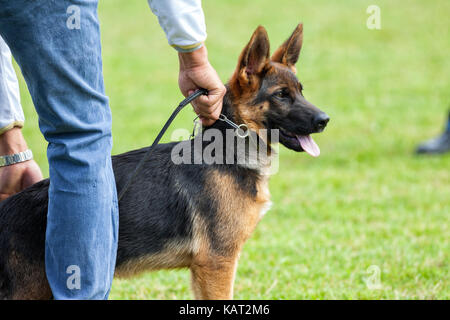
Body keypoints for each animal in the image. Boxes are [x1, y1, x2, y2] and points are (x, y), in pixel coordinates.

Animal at [0, 24, 328, 300]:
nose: (325, 120)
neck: (231, 152)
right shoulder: (217, 263)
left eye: (300, 92)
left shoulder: (204, 269)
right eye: (281, 95)